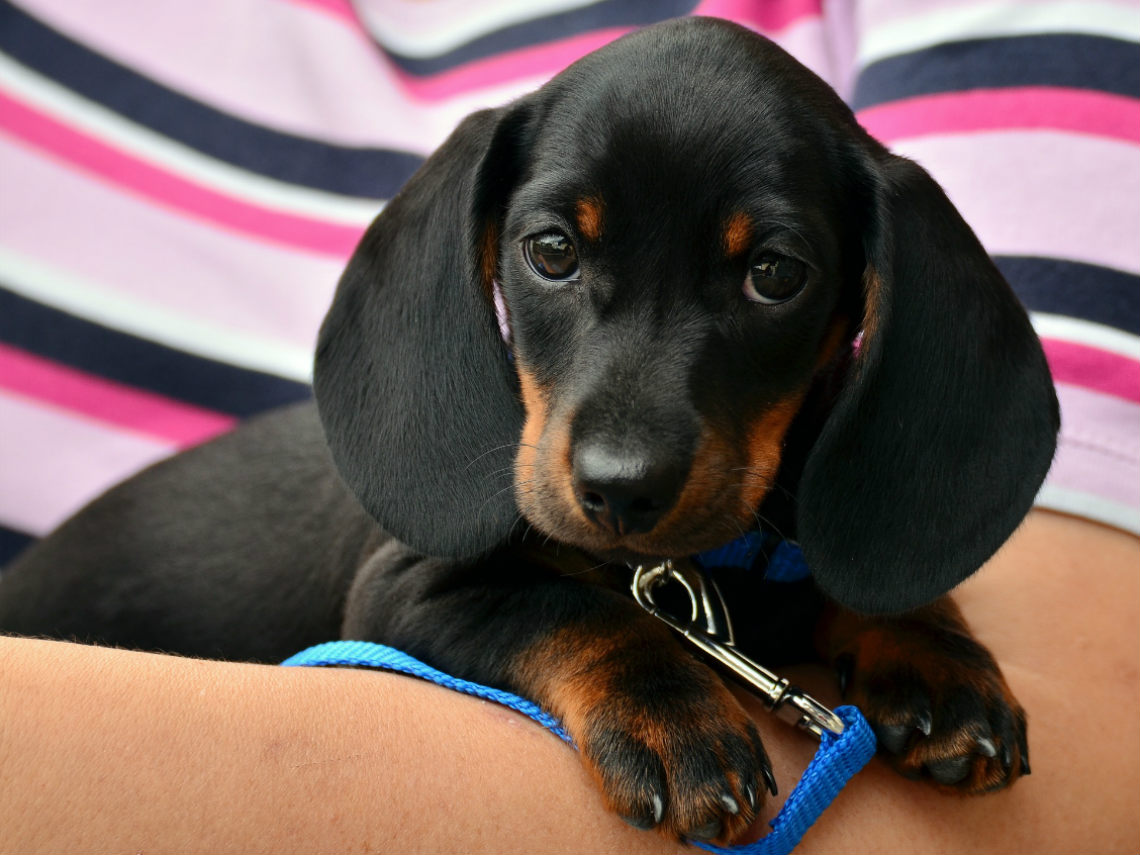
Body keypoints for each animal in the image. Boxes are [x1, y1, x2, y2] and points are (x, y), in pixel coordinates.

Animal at [0, 16, 1053, 848]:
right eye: (551, 250)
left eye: (776, 274)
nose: (620, 489)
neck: (699, 575)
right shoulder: (405, 592)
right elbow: (570, 607)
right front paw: (674, 713)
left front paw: (934, 650)